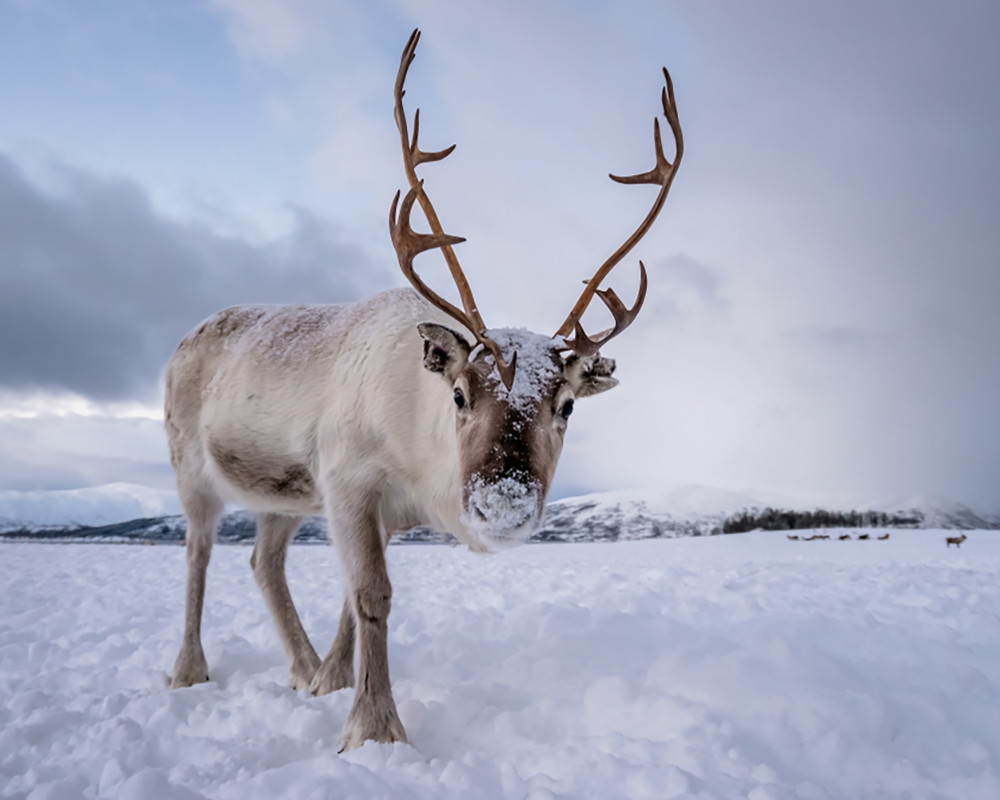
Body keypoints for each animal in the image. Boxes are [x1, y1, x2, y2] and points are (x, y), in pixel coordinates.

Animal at [164, 29, 683, 749]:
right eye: (460, 394)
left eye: (567, 405)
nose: (503, 505)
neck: (419, 461)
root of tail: (185, 338)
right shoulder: (349, 479)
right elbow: (371, 595)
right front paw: (374, 728)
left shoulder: (372, 507)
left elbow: (353, 598)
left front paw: (332, 682)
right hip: (191, 466)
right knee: (198, 554)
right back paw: (188, 670)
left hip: (283, 495)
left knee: (263, 563)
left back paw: (301, 668)